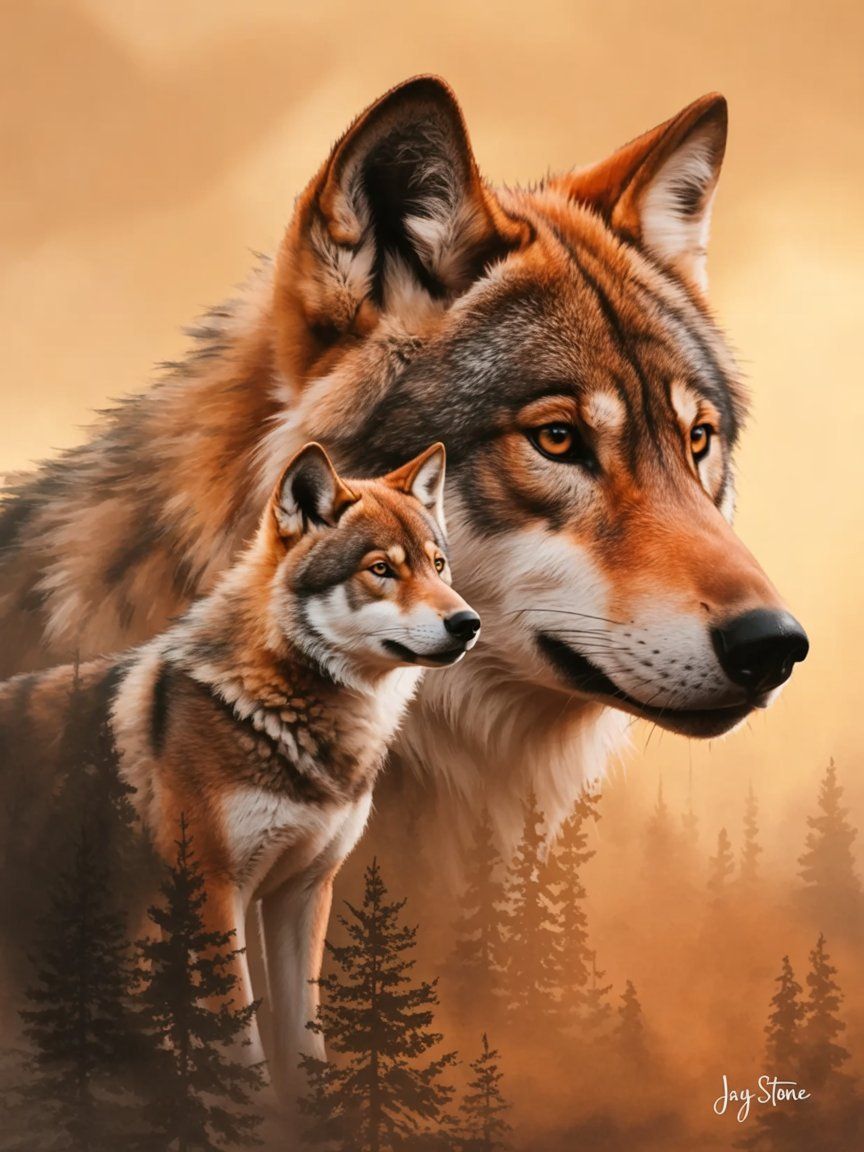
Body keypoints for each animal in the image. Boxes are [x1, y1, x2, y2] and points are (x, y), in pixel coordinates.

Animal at [0, 440, 479, 1095]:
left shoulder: (302, 894)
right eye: (381, 569)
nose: (468, 623)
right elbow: (242, 1043)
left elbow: (303, 1038)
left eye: (438, 564)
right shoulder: (213, 889)